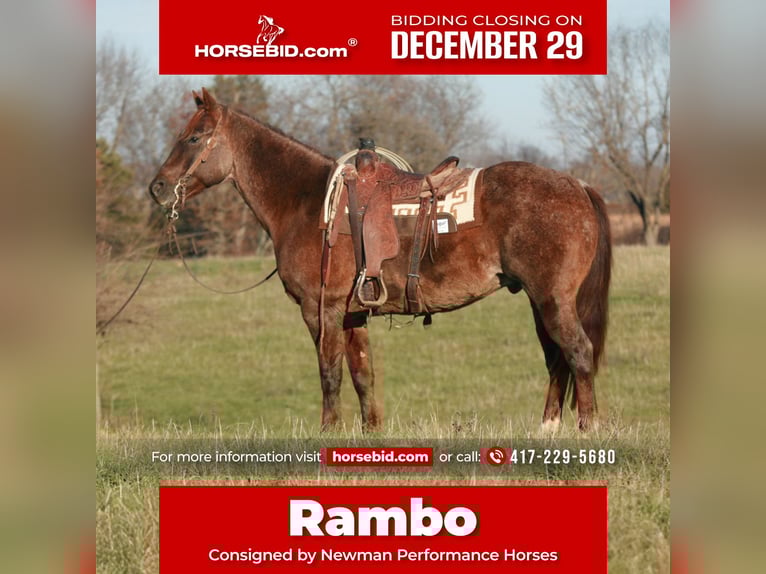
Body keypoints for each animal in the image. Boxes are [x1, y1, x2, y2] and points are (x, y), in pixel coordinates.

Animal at [149, 88, 612, 431]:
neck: (307, 204)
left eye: (193, 138)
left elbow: (330, 372)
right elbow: (362, 375)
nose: (157, 187)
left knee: (577, 352)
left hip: (552, 299)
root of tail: (576, 184)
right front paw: (370, 433)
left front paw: (328, 432)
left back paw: (587, 429)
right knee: (557, 358)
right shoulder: (353, 313)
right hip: (539, 300)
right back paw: (548, 429)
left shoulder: (322, 309)